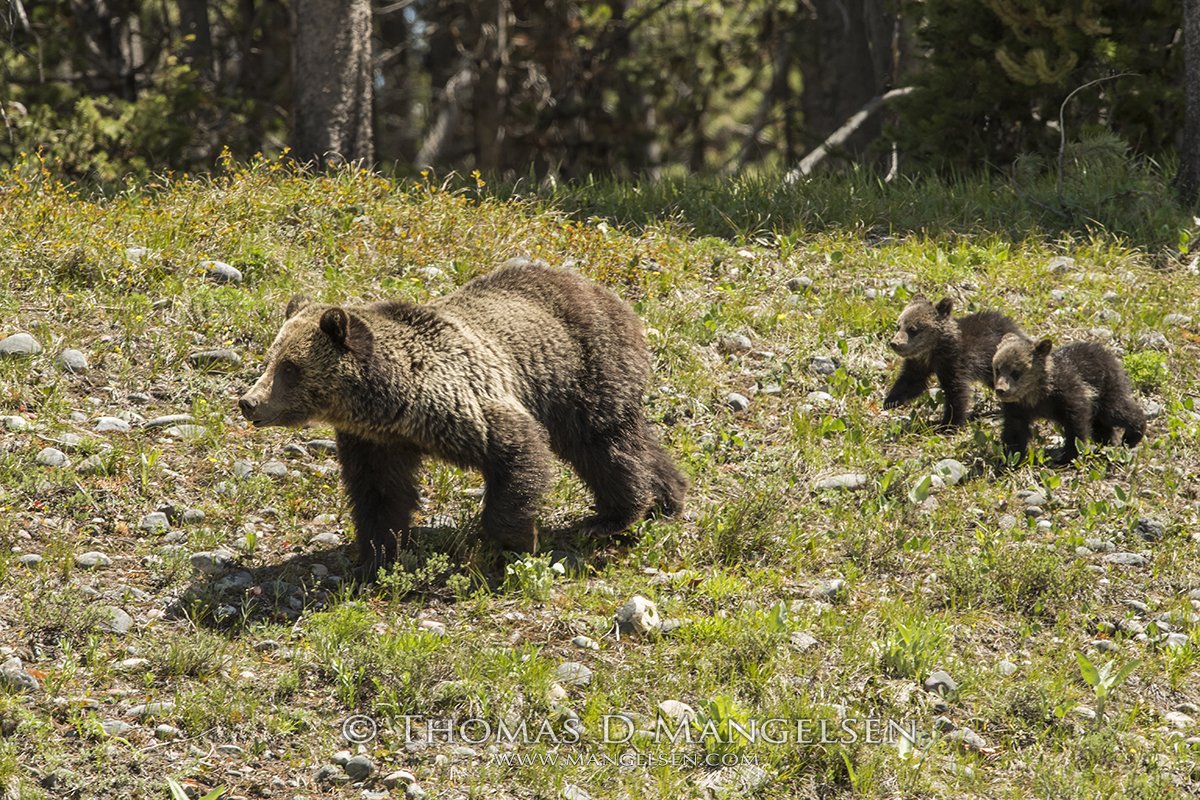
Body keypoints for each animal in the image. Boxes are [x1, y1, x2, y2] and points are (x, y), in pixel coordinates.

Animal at [238, 259, 688, 579]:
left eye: (290, 368)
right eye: (270, 359)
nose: (249, 402)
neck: (391, 402)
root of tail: (613, 297)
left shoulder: (466, 400)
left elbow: (518, 451)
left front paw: (513, 542)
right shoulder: (375, 442)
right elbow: (380, 495)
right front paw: (376, 556)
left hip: (580, 373)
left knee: (604, 446)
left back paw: (613, 517)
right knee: (632, 441)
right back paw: (668, 497)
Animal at [883, 295, 1023, 427]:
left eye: (913, 329)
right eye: (898, 326)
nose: (894, 343)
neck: (933, 350)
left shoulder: (954, 362)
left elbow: (956, 392)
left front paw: (948, 424)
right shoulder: (919, 363)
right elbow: (911, 381)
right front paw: (891, 401)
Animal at [991, 333, 1146, 464]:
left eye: (1016, 372)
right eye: (997, 369)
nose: (1001, 390)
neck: (1036, 394)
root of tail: (1107, 353)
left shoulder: (1069, 392)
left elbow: (1076, 424)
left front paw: (1067, 455)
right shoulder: (1018, 407)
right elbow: (1014, 431)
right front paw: (1009, 458)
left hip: (1105, 385)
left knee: (1115, 410)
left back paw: (1132, 435)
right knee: (1100, 423)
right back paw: (1107, 442)